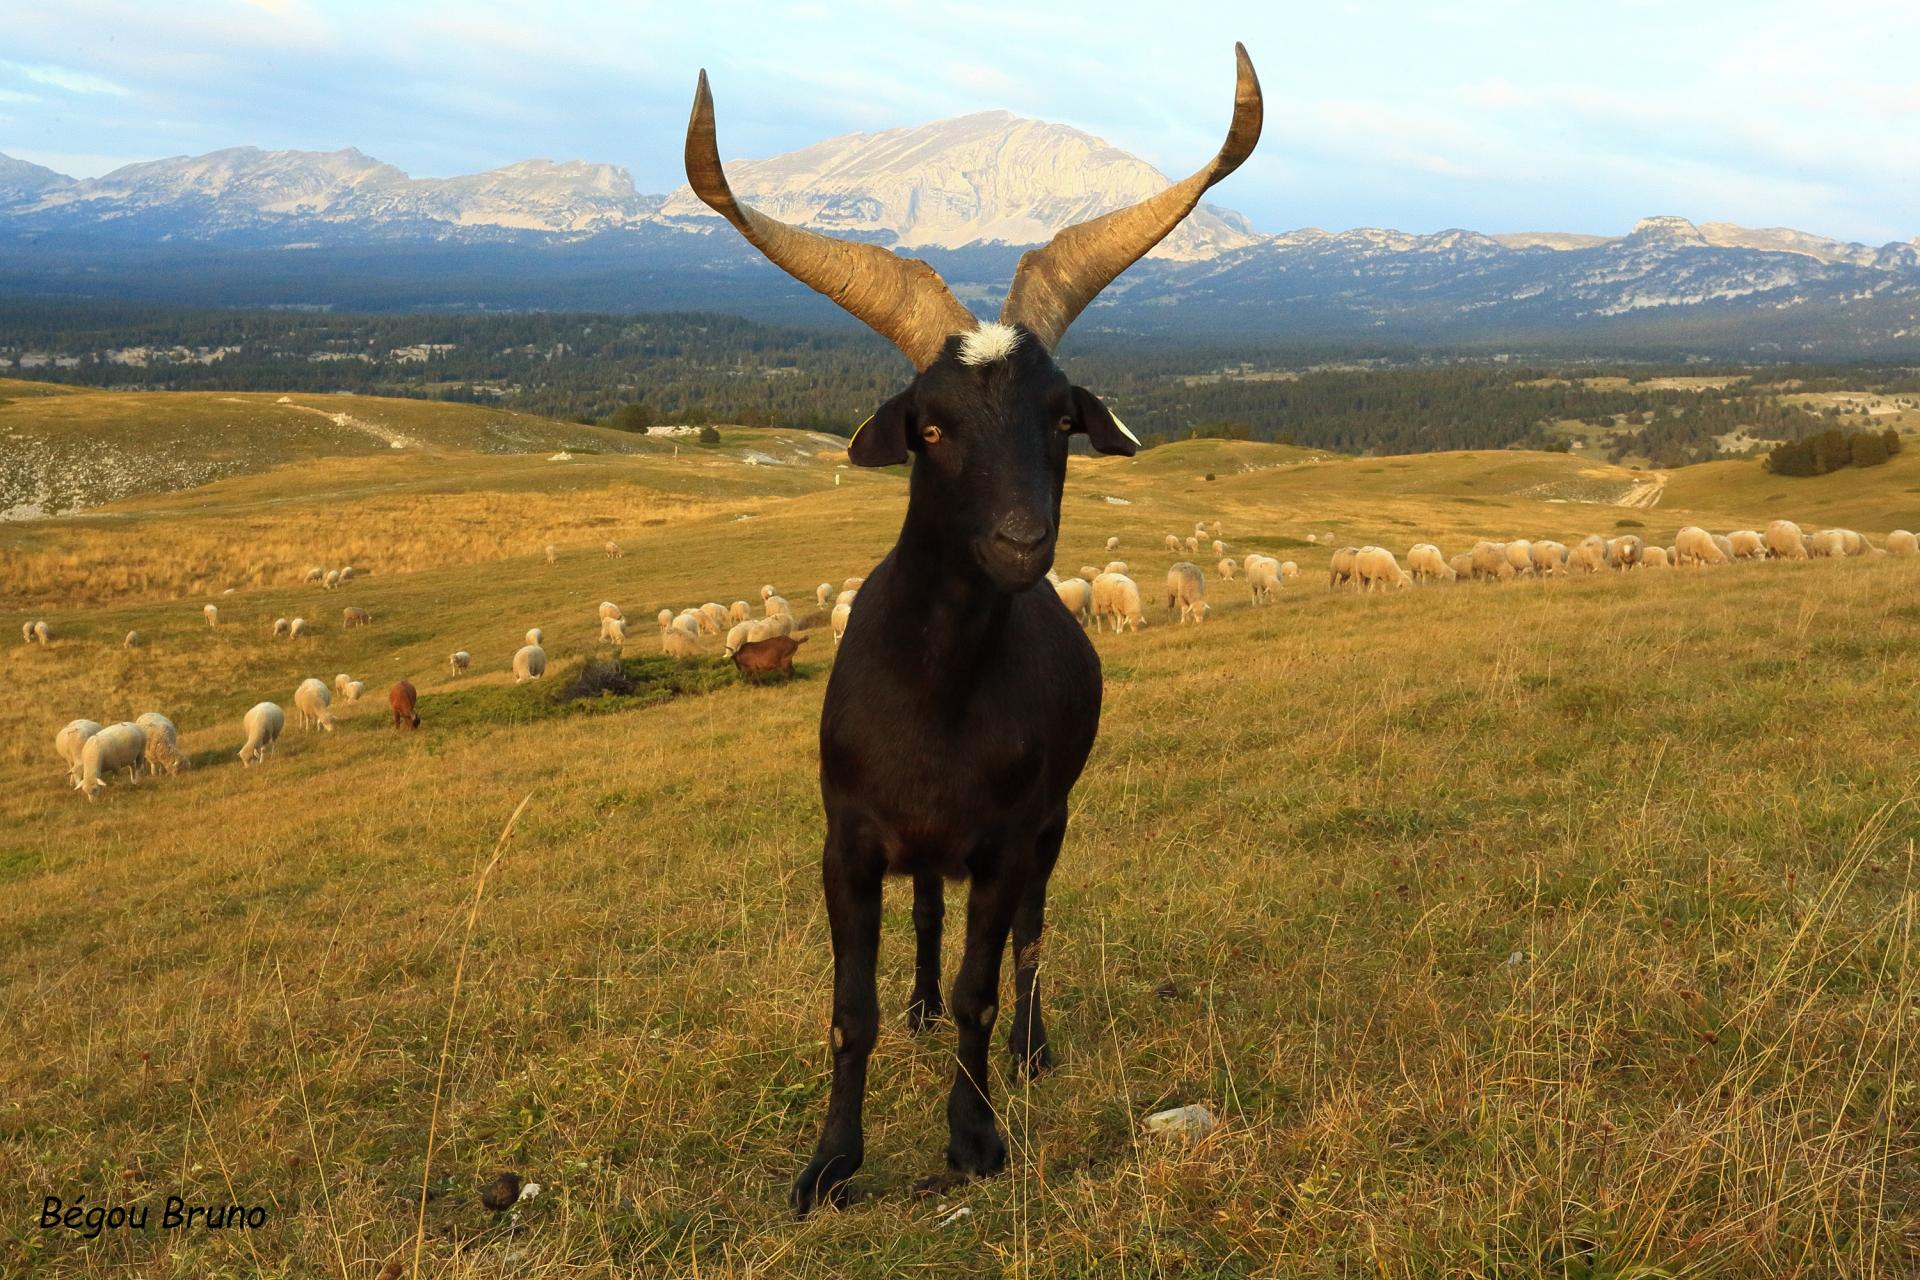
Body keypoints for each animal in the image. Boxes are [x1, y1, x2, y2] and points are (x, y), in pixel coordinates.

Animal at [683, 45, 1267, 1220]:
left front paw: (974, 1135)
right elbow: (851, 1008)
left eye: (1059, 416)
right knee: (923, 922)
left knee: (1032, 939)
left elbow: (983, 987)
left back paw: (1034, 1052)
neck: (936, 689)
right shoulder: (849, 843)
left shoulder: (1006, 838)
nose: (1021, 539)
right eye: (933, 426)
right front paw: (830, 1162)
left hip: (1054, 823)